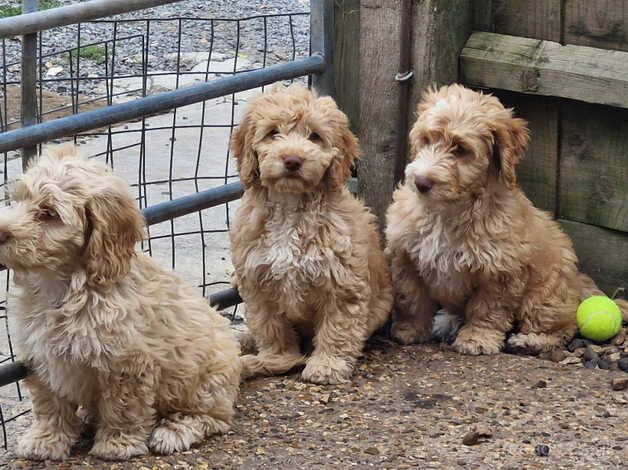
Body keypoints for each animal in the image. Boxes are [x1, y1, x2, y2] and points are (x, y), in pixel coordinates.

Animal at [0, 145, 240, 460]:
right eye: (17, 201)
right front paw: (46, 439)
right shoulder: (40, 356)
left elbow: (122, 406)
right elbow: (49, 402)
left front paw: (117, 444)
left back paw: (175, 430)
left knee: (215, 417)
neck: (64, 286)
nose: (0, 232)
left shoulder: (125, 361)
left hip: (206, 382)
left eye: (48, 213)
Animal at [388, 85, 624, 356]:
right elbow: (411, 297)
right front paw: (410, 330)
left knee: (561, 326)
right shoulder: (406, 256)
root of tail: (577, 282)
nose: (421, 182)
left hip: (546, 291)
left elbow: (488, 308)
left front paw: (478, 338)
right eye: (426, 140)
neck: (449, 209)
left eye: (460, 149)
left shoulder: (500, 269)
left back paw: (531, 340)